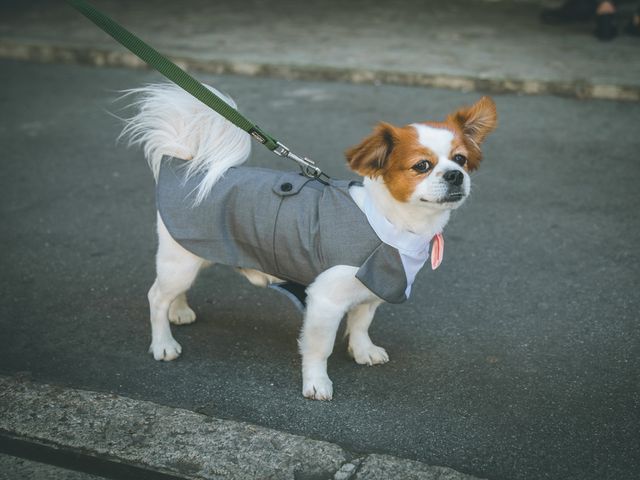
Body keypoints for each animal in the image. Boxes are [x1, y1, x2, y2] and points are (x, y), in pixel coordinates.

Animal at [121, 83, 500, 402]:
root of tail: (184, 166)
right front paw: (317, 383)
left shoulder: (371, 289)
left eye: (461, 159)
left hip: (191, 255)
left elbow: (361, 323)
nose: (455, 175)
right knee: (156, 296)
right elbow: (320, 348)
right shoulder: (325, 300)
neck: (392, 222)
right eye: (422, 166)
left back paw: (179, 311)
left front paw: (363, 350)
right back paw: (163, 342)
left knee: (173, 291)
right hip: (179, 262)